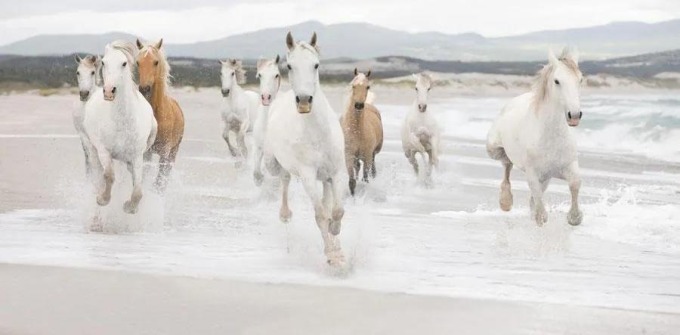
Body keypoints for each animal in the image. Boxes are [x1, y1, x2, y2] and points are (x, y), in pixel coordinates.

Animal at [83, 40, 157, 217]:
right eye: (103, 63)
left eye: (124, 63)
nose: (109, 91)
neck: (122, 121)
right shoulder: (104, 151)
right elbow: (109, 175)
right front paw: (102, 199)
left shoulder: (137, 156)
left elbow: (138, 190)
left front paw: (130, 207)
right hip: (92, 149)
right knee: (97, 172)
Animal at [135, 38, 185, 193]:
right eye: (138, 62)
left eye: (156, 62)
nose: (144, 89)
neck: (157, 114)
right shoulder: (145, 152)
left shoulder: (165, 153)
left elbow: (159, 183)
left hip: (173, 153)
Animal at [264, 32, 348, 268]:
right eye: (289, 66)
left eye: (316, 65)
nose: (303, 101)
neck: (318, 132)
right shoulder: (308, 175)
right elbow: (320, 215)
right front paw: (332, 255)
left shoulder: (337, 172)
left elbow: (337, 210)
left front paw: (336, 237)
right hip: (274, 163)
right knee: (284, 178)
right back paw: (285, 214)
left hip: (326, 177)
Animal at [340, 67, 382, 197]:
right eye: (353, 86)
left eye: (367, 87)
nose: (358, 105)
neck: (356, 131)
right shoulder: (349, 156)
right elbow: (352, 181)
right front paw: (353, 197)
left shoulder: (367, 156)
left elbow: (365, 178)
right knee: (357, 167)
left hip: (373, 153)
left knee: (372, 166)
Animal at [488, 46, 584, 226]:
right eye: (557, 81)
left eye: (580, 80)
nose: (574, 116)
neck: (551, 138)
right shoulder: (533, 173)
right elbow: (538, 202)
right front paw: (540, 217)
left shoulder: (568, 166)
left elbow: (575, 184)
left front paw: (574, 217)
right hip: (493, 149)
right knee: (506, 164)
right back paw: (506, 201)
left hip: (546, 178)